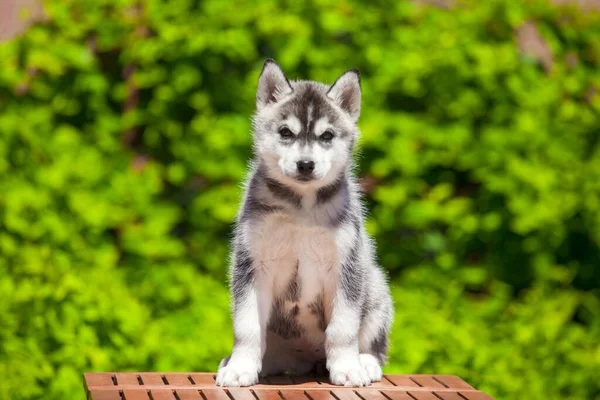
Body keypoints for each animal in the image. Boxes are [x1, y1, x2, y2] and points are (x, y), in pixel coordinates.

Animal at [216, 59, 394, 388]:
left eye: (327, 136)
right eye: (286, 132)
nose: (306, 164)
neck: (301, 208)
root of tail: (308, 361)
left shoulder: (346, 265)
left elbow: (343, 328)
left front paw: (346, 367)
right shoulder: (251, 263)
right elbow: (247, 326)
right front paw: (240, 367)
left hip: (375, 285)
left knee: (374, 344)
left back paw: (365, 363)